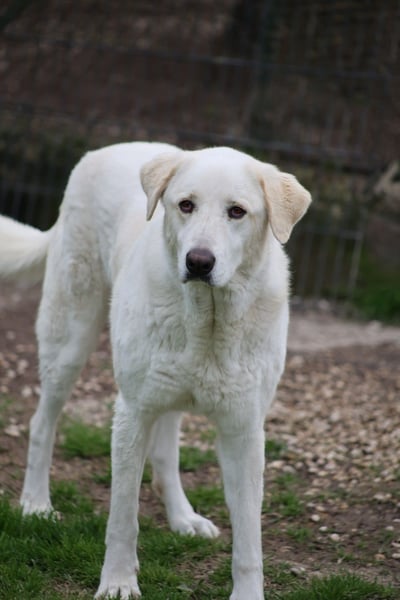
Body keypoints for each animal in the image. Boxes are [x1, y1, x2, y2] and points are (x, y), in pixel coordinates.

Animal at [0, 142, 311, 599]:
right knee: (42, 423)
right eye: (186, 205)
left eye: (237, 212)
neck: (208, 321)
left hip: (164, 388)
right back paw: (36, 504)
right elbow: (122, 518)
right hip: (70, 343)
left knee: (164, 455)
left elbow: (249, 540)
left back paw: (183, 518)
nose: (198, 262)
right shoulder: (133, 413)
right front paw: (117, 582)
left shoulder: (244, 430)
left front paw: (247, 593)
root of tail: (103, 150)